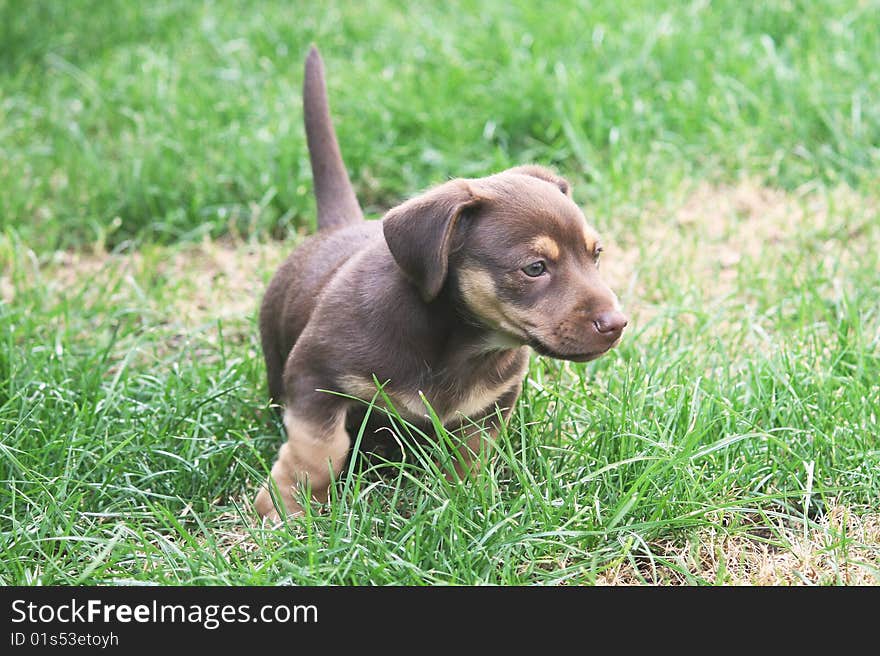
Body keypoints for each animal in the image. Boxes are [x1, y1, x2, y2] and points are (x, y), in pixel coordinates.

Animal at [254, 46, 624, 520]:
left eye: (596, 254)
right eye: (535, 268)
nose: (617, 324)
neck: (458, 345)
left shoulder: (491, 405)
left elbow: (470, 457)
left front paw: (462, 499)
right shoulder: (313, 375)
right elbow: (319, 451)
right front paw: (284, 506)